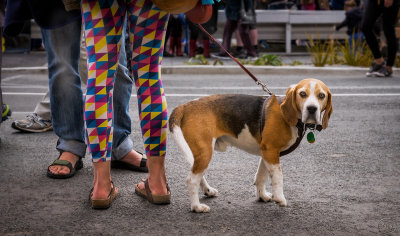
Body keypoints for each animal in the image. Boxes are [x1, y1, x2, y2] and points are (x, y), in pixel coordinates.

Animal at [170, 79, 334, 212]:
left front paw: (262, 196)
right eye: (302, 94)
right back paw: (196, 207)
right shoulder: (271, 151)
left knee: (197, 175)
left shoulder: (266, 152)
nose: (312, 108)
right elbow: (278, 177)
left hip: (200, 153)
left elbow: (261, 176)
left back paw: (208, 190)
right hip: (205, 152)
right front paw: (280, 198)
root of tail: (185, 105)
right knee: (191, 180)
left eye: (321, 96)